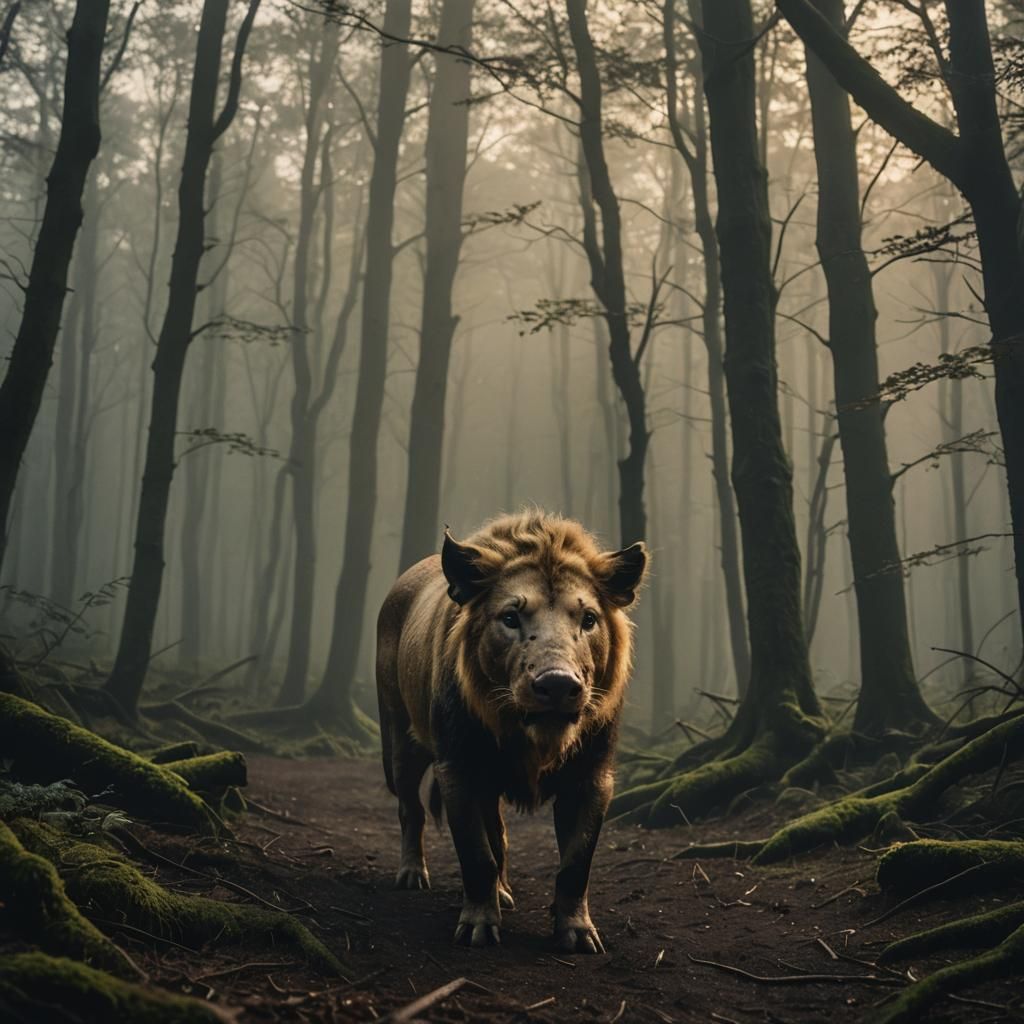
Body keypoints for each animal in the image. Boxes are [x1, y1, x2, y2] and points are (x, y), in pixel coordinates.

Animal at [376, 510, 647, 952]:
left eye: (588, 619)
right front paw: (479, 927)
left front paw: (577, 932)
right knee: (410, 810)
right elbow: (476, 856)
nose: (557, 684)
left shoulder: (592, 778)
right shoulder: (459, 770)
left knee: (498, 834)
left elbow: (574, 865)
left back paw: (503, 892)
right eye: (510, 618)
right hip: (401, 738)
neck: (532, 739)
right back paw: (412, 875)